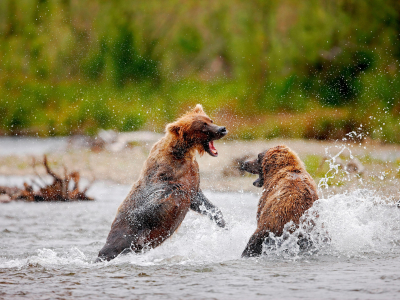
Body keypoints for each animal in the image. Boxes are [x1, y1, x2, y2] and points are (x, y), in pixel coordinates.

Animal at [96, 104, 228, 262]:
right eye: (203, 126)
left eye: (210, 120)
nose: (222, 129)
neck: (182, 153)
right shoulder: (162, 175)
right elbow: (152, 200)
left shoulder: (192, 176)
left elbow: (200, 200)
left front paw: (223, 223)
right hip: (125, 235)